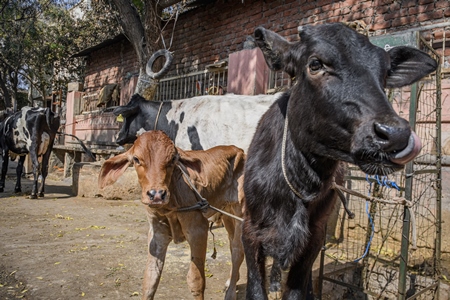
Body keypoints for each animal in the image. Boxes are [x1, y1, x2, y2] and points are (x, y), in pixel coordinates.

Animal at [99, 131, 246, 300]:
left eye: (173, 159)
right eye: (136, 159)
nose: (156, 194)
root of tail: (240, 150)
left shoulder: (198, 230)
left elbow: (195, 281)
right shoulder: (157, 233)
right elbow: (150, 279)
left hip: (241, 213)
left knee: (238, 251)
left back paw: (230, 293)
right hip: (227, 214)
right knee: (232, 245)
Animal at [243, 22, 436, 298]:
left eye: (385, 72)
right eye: (315, 64)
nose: (395, 134)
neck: (297, 183)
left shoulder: (314, 238)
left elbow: (297, 289)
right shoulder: (249, 230)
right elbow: (255, 288)